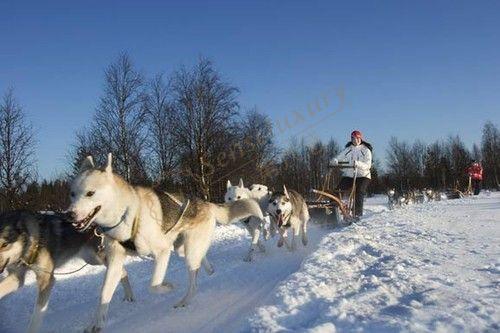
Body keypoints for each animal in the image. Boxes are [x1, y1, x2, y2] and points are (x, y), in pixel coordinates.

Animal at [0, 210, 134, 332]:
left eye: (5, 244)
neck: (32, 242)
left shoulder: (46, 280)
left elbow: (36, 316)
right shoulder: (16, 277)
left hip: (100, 257)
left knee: (120, 271)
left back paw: (129, 296)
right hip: (92, 259)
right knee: (121, 271)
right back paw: (128, 296)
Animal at [68, 154, 264, 330]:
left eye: (90, 193)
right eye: (72, 194)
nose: (69, 214)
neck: (126, 215)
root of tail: (206, 204)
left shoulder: (162, 251)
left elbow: (154, 285)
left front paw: (168, 287)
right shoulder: (115, 263)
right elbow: (104, 295)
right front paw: (96, 324)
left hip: (188, 252)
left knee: (193, 283)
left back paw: (184, 300)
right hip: (182, 249)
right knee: (200, 259)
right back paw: (210, 269)